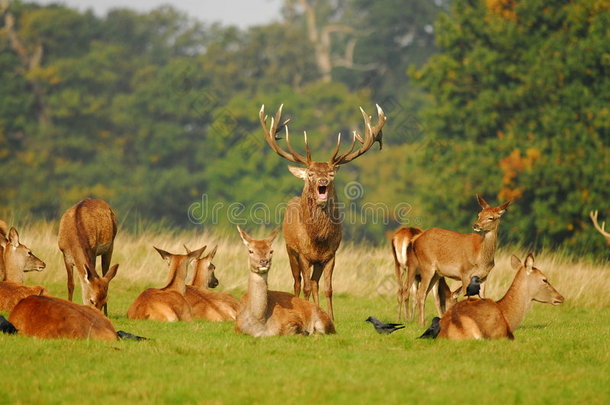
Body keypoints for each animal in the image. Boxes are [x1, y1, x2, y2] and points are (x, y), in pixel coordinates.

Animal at [258, 102, 382, 318]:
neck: (318, 239)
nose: (323, 181)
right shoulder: (303, 254)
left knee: (315, 283)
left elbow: (328, 289)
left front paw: (331, 318)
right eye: (311, 173)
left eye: (331, 173)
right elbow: (305, 287)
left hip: (317, 262)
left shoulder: (331, 254)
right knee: (298, 283)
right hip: (290, 251)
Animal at [406, 195, 510, 326]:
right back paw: (421, 324)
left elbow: (483, 298)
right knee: (420, 293)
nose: (476, 225)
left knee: (424, 293)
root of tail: (416, 239)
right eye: (479, 214)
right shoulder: (464, 273)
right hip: (426, 266)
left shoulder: (484, 277)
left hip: (436, 273)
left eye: (491, 217)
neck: (481, 258)